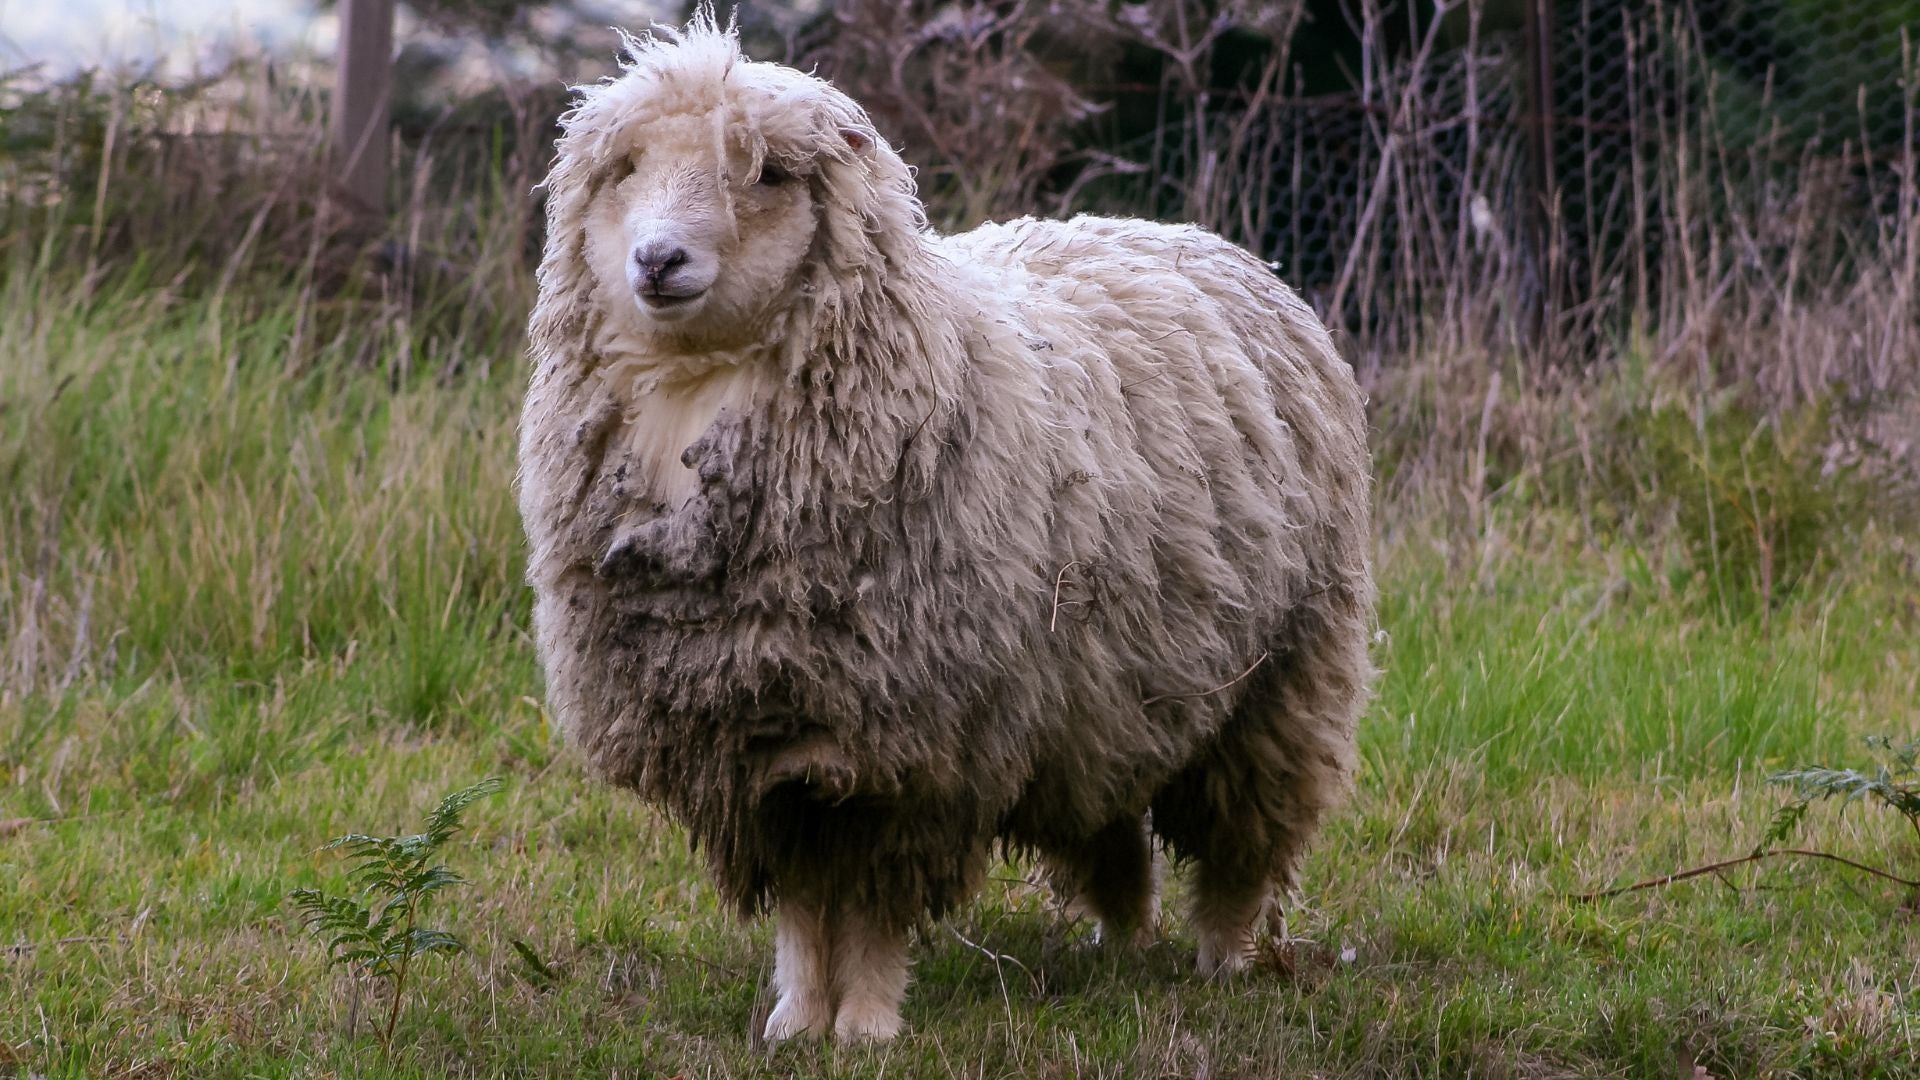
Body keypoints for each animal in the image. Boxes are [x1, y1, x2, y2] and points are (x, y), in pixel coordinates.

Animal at [518, 12, 1374, 1037]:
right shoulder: (767, 746)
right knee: (1114, 826)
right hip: (1108, 689)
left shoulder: (916, 745)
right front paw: (796, 1021)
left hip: (1282, 674)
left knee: (1248, 840)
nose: (657, 261)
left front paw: (866, 1024)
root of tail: (1187, 234)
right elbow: (804, 905)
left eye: (767, 174)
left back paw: (1226, 960)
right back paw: (1122, 948)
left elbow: (872, 902)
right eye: (629, 168)